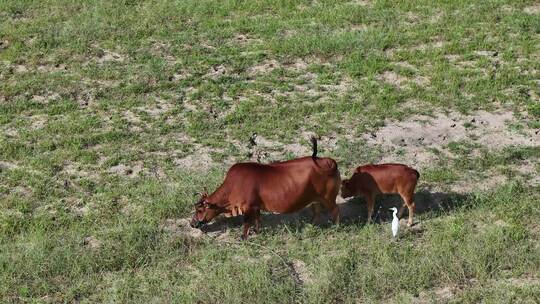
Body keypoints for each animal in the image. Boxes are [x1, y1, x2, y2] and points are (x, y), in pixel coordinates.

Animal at [192, 137, 340, 239]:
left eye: (199, 210)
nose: (192, 224)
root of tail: (327, 161)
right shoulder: (256, 206)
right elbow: (258, 219)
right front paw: (257, 232)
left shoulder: (248, 207)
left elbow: (247, 222)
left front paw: (243, 237)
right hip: (315, 198)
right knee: (317, 210)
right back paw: (312, 225)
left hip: (328, 198)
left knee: (335, 210)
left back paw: (335, 227)